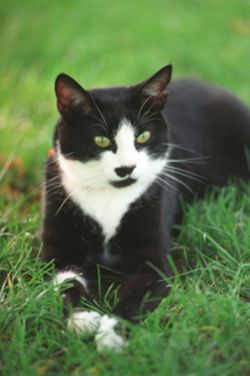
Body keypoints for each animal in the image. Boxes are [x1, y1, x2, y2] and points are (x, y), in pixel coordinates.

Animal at [41, 64, 250, 350]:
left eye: (143, 136)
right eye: (101, 140)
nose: (126, 168)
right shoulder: (58, 248)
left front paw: (113, 333)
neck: (111, 195)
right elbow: (65, 282)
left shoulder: (153, 253)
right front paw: (82, 317)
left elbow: (137, 295)